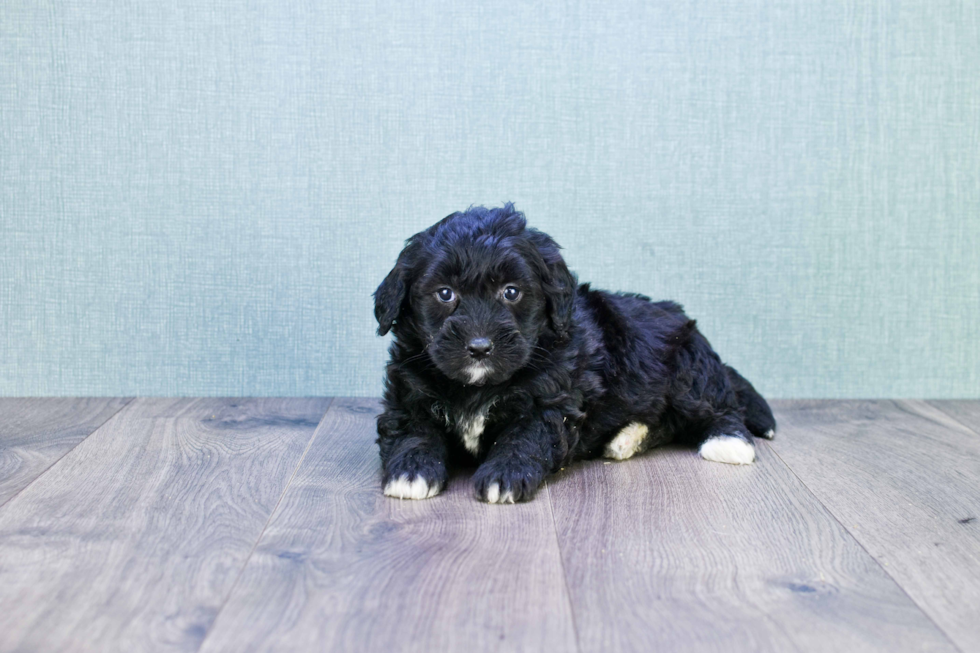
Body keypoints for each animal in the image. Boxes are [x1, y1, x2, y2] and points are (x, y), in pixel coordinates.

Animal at [374, 204, 772, 504]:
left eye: (511, 292)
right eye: (445, 293)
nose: (480, 347)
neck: (477, 387)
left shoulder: (551, 402)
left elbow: (524, 437)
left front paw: (504, 474)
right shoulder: (408, 394)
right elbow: (414, 430)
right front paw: (411, 470)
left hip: (688, 372)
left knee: (719, 409)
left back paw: (727, 441)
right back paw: (626, 439)